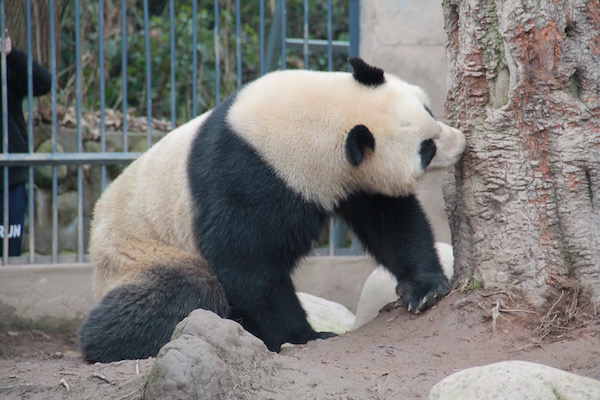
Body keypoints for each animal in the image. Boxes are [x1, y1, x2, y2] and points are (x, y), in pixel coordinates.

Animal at [78, 57, 464, 362]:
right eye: (426, 148)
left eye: (429, 111)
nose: (461, 143)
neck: (317, 119)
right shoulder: (249, 178)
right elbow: (248, 268)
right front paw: (305, 336)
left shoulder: (354, 179)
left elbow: (390, 222)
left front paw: (424, 288)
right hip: (139, 251)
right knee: (183, 291)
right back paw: (106, 344)